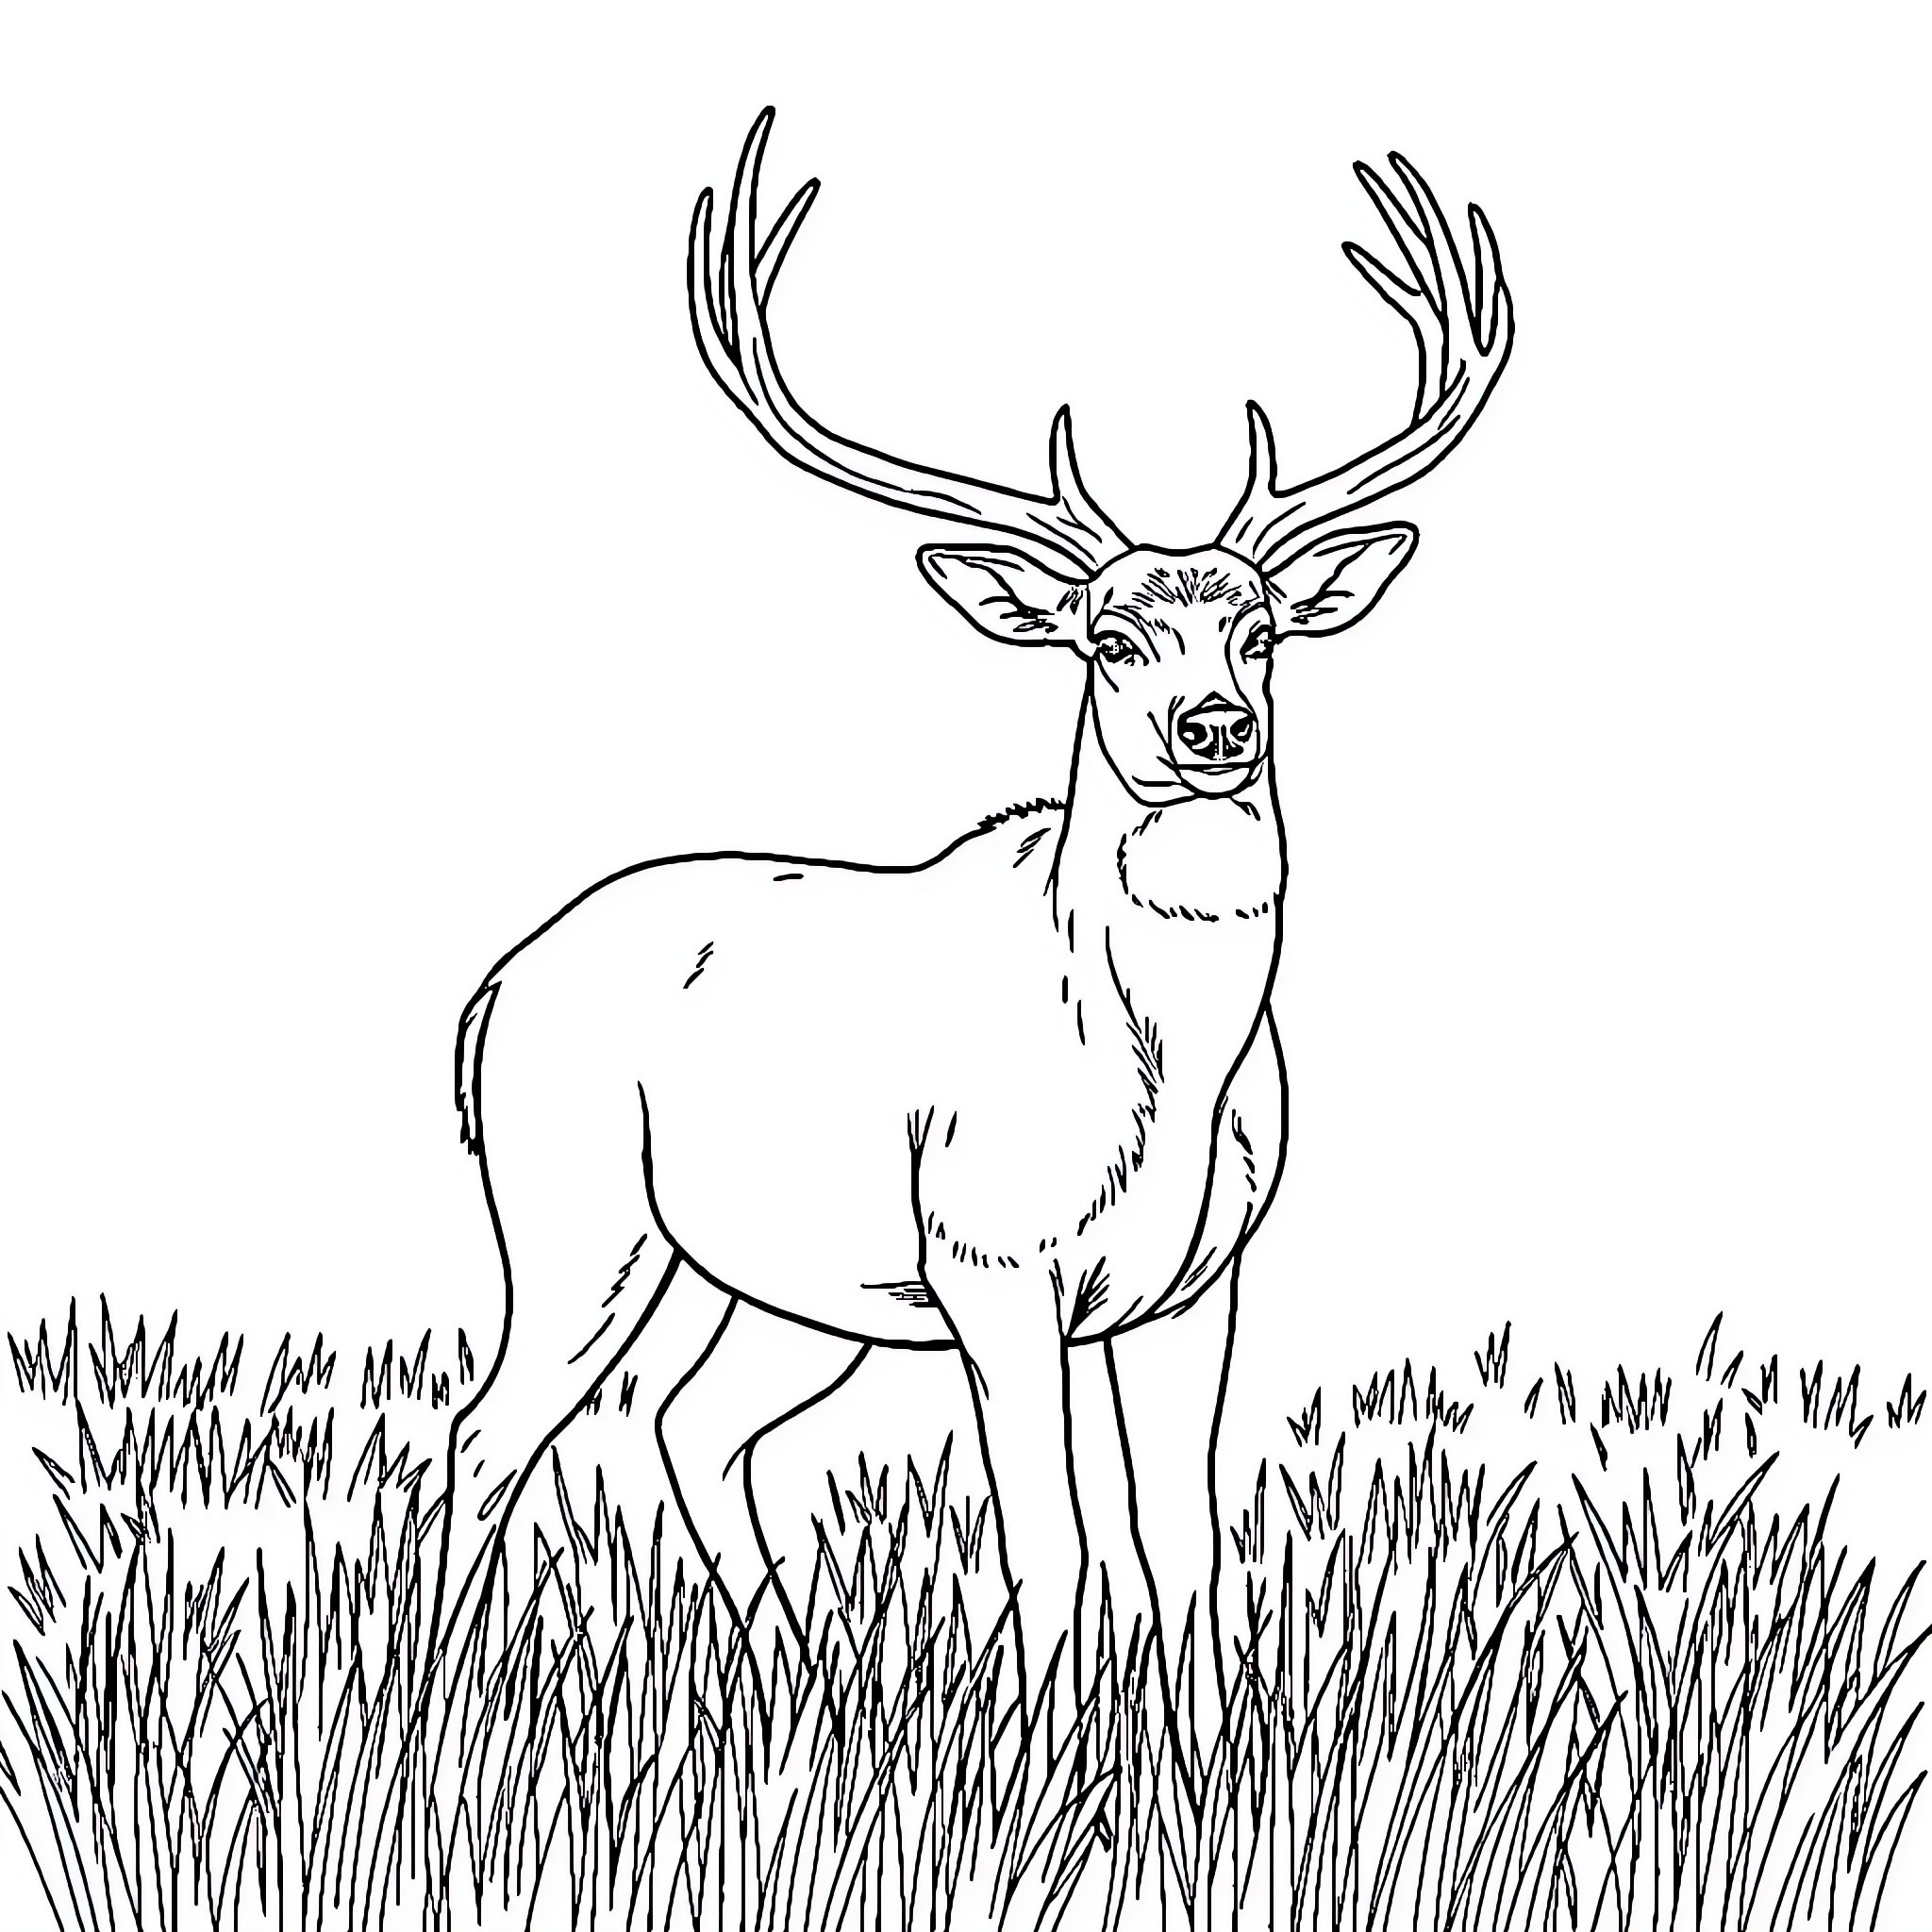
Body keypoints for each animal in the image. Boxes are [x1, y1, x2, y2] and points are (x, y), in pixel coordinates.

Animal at [426, 109, 1513, 1773]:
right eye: (1109, 635)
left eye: (1259, 627)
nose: (1215, 726)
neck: (1157, 1070)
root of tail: (487, 994)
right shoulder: (995, 1261)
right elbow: (1050, 1539)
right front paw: (1045, 1769)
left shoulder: (1199, 1281)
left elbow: (1181, 1534)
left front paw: (1209, 1771)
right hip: (578, 1206)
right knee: (491, 1431)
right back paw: (429, 1724)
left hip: (790, 1276)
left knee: (694, 1420)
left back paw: (811, 1702)